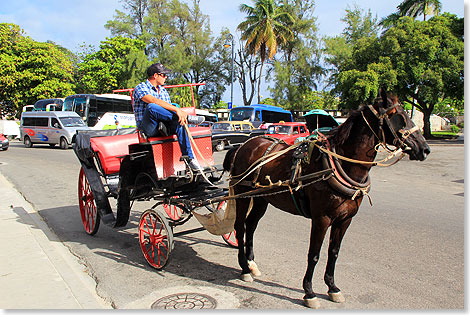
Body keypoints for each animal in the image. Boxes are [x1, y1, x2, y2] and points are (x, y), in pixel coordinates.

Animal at [223, 90, 430, 308]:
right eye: (399, 117)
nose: (425, 149)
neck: (339, 164)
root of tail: (244, 145)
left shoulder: (345, 220)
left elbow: (334, 252)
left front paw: (332, 287)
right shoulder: (321, 219)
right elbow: (314, 254)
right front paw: (309, 291)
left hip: (261, 199)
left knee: (251, 225)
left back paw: (251, 263)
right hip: (242, 194)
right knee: (240, 226)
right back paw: (244, 268)